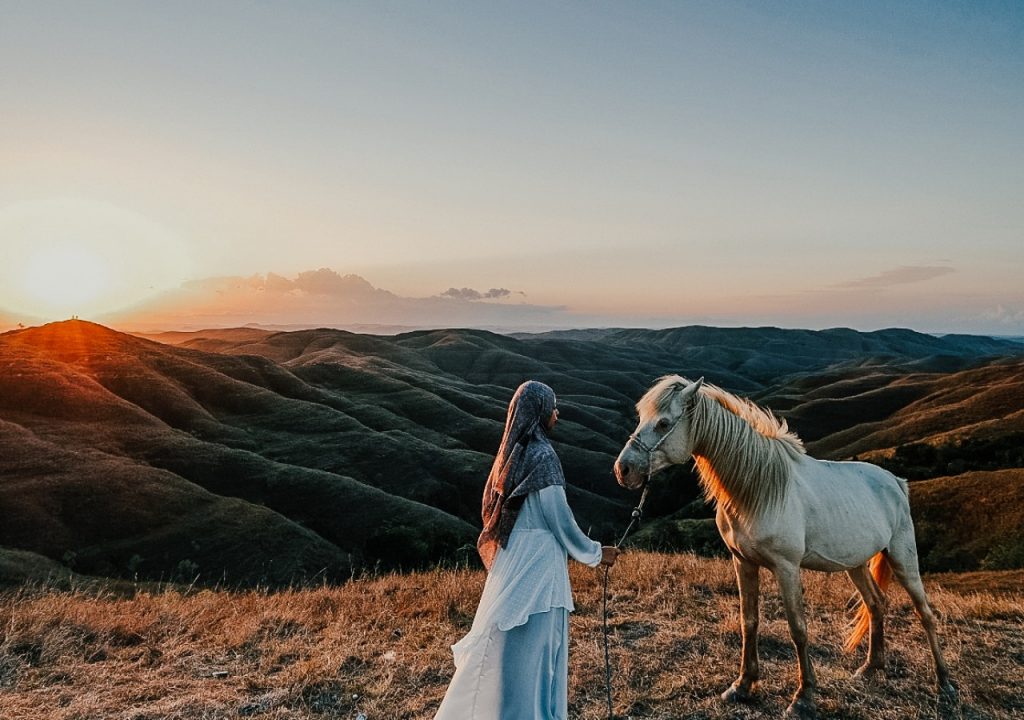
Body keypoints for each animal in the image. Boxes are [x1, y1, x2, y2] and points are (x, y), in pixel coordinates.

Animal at [610, 376, 954, 720]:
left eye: (664, 423)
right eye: (641, 418)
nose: (623, 470)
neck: (758, 489)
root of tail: (896, 481)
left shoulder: (787, 567)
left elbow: (798, 628)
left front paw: (804, 696)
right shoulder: (743, 562)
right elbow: (749, 621)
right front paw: (742, 685)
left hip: (902, 556)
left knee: (924, 613)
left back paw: (945, 682)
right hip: (855, 563)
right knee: (876, 604)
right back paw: (871, 667)